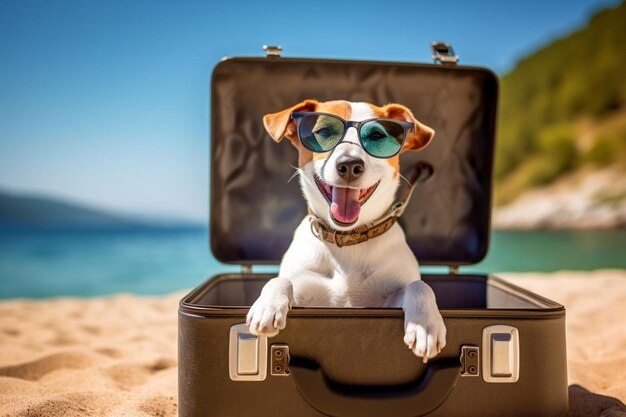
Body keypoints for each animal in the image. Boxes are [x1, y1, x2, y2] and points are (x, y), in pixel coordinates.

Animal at [246, 98, 446, 360]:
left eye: (376, 135)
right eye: (323, 132)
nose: (350, 165)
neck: (347, 240)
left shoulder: (386, 300)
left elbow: (419, 286)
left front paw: (424, 324)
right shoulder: (305, 293)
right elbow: (280, 280)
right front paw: (267, 305)